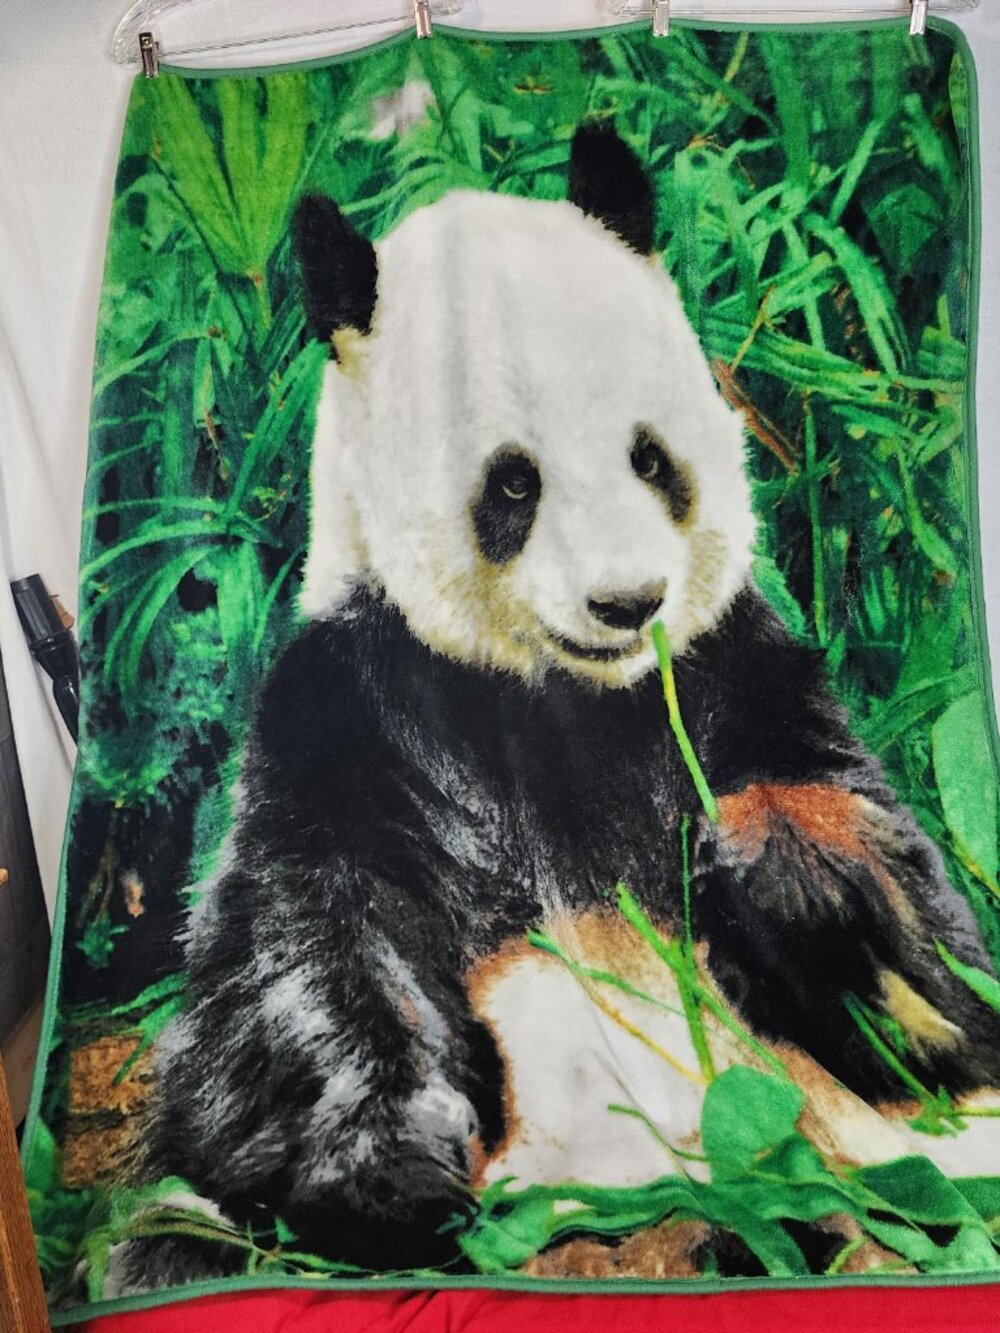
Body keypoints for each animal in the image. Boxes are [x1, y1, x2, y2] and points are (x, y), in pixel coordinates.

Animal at [142, 123, 1000, 1280]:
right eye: (514, 483)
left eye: (650, 458)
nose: (628, 601)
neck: (572, 703)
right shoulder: (356, 706)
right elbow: (295, 954)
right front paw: (388, 1174)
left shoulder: (739, 671)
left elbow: (942, 984)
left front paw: (786, 869)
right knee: (177, 1236)